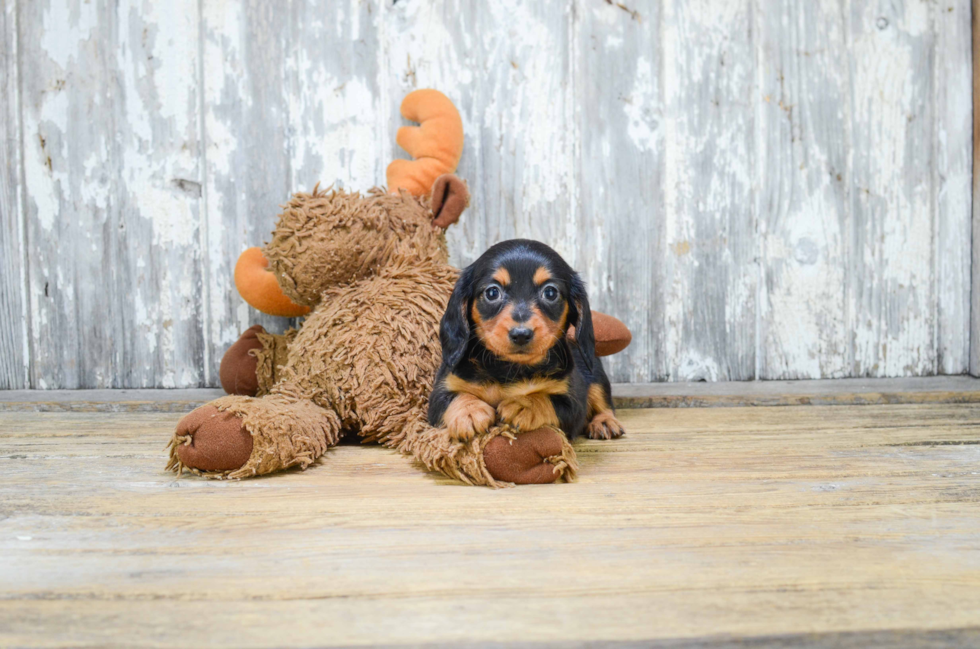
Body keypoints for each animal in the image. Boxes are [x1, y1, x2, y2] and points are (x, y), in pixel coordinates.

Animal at [430, 240, 628, 442]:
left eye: (550, 293)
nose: (521, 334)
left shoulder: (572, 400)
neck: (508, 368)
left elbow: (547, 399)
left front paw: (524, 404)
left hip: (596, 375)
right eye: (492, 292)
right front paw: (470, 412)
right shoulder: (441, 391)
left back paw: (604, 422)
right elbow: (455, 397)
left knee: (603, 401)